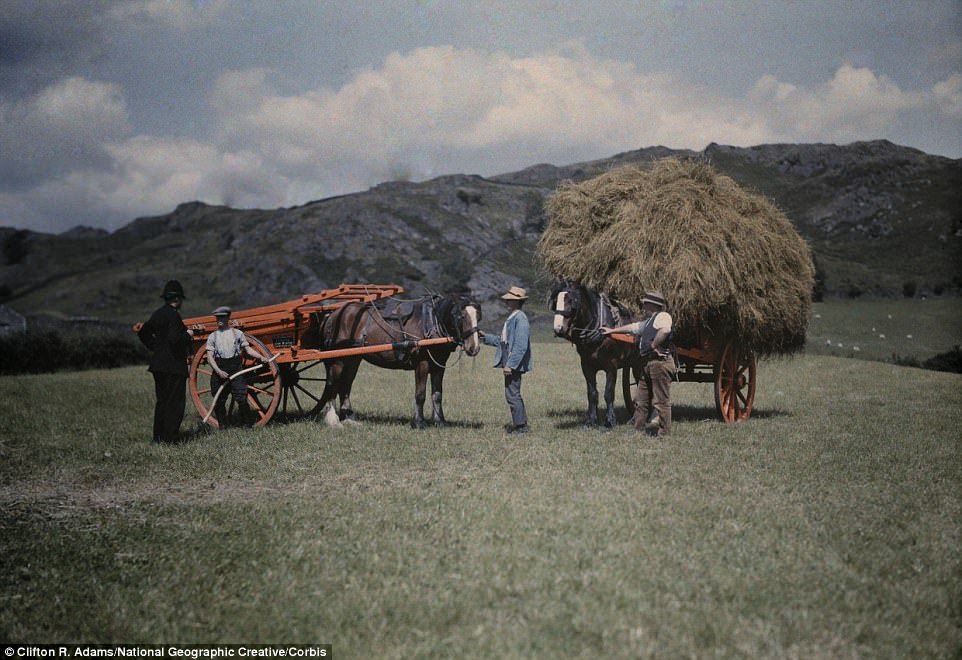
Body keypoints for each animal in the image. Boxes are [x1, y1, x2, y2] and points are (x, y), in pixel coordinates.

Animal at [316, 292, 480, 428]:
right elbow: (420, 394)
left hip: (353, 359)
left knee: (346, 385)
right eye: (460, 316)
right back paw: (333, 419)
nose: (474, 347)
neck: (431, 322)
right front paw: (418, 422)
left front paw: (440, 421)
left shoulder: (439, 366)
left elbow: (437, 394)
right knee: (333, 383)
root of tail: (333, 314)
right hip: (337, 359)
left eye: (478, 317)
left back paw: (349, 418)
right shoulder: (422, 364)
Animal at [548, 282, 636, 428]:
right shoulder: (587, 366)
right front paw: (591, 421)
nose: (558, 329)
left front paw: (610, 421)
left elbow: (608, 393)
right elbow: (592, 393)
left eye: (572, 301)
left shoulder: (611, 366)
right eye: (555, 302)